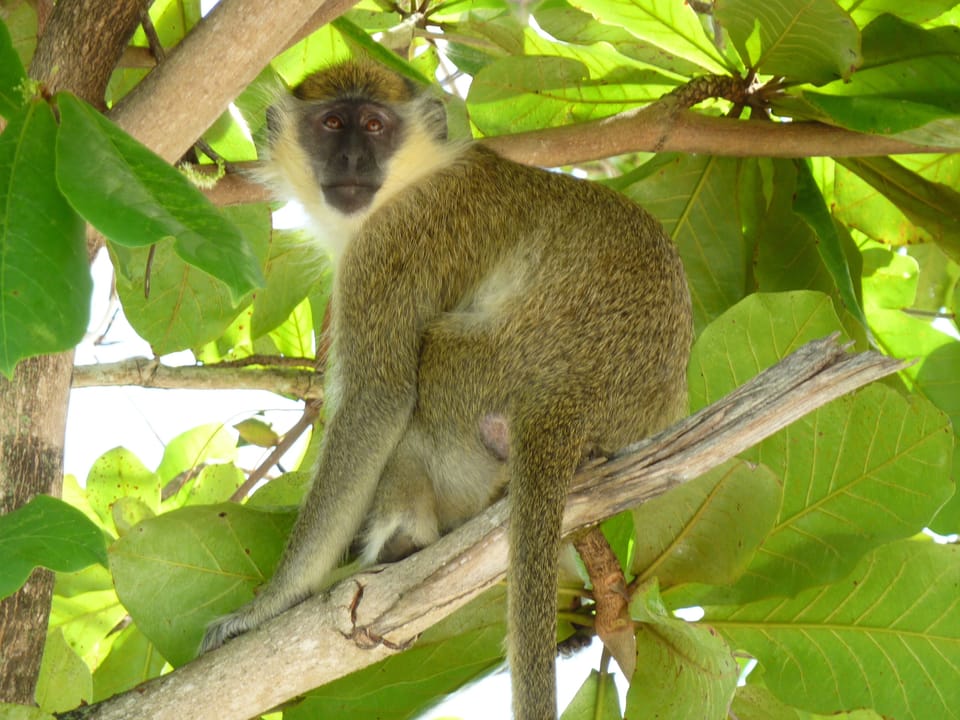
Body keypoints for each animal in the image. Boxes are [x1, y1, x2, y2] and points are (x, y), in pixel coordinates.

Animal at [201, 59, 693, 720]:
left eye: (374, 125)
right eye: (331, 123)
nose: (352, 159)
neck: (411, 179)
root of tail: (569, 406)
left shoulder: (388, 251)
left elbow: (378, 400)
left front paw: (267, 605)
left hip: (480, 375)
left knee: (428, 363)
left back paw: (405, 534)